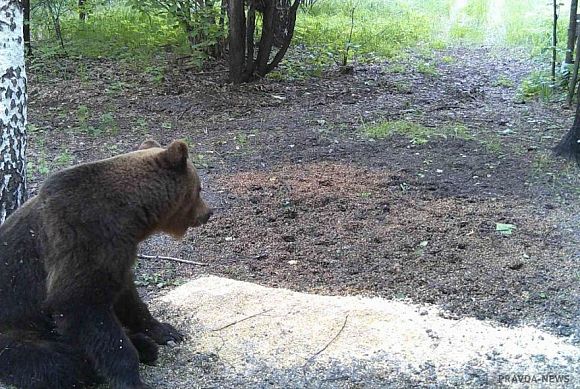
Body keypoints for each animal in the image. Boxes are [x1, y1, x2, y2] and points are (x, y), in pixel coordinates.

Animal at [0, 139, 212, 388]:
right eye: (199, 189)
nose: (208, 212)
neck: (130, 217)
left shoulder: (117, 254)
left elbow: (128, 297)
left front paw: (166, 331)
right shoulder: (83, 238)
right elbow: (82, 305)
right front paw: (132, 378)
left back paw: (144, 345)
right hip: (17, 329)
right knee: (52, 362)